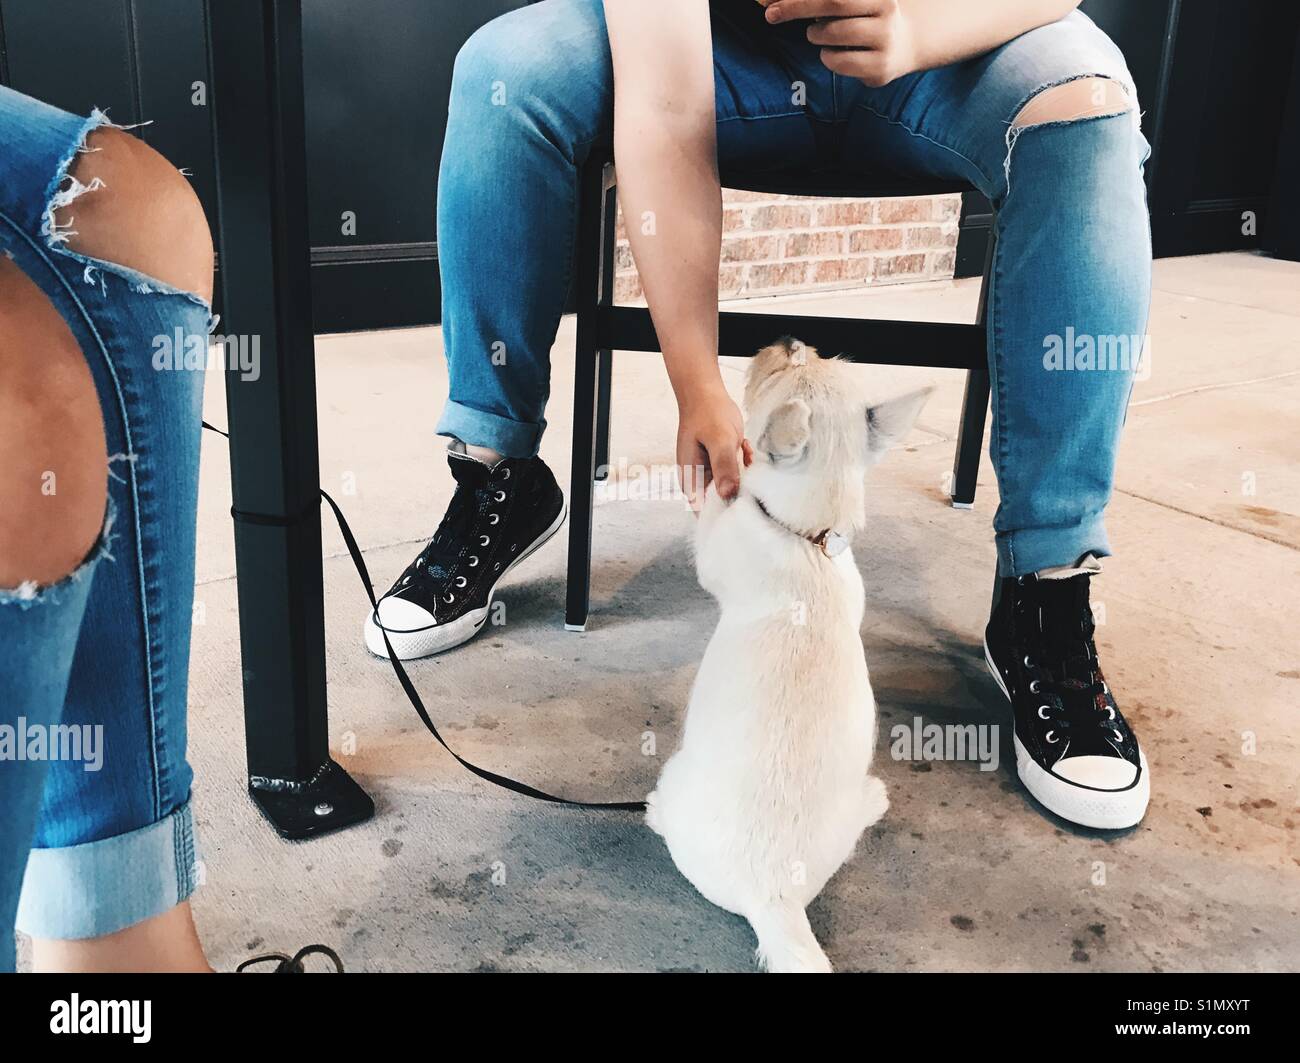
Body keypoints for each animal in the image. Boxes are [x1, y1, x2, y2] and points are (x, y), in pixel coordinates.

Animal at [644, 337, 930, 966]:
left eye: (786, 368)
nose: (792, 340)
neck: (808, 540)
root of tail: (771, 896)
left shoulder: (721, 545)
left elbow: (713, 511)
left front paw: (718, 473)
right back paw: (873, 801)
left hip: (677, 779)